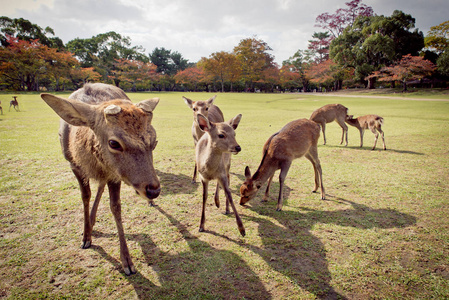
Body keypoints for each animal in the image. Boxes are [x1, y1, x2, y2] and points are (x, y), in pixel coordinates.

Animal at [39, 83, 160, 276]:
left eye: (154, 141)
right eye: (114, 143)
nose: (153, 190)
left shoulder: (114, 174)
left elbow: (115, 207)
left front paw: (127, 262)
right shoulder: (73, 165)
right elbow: (85, 196)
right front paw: (85, 237)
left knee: (101, 186)